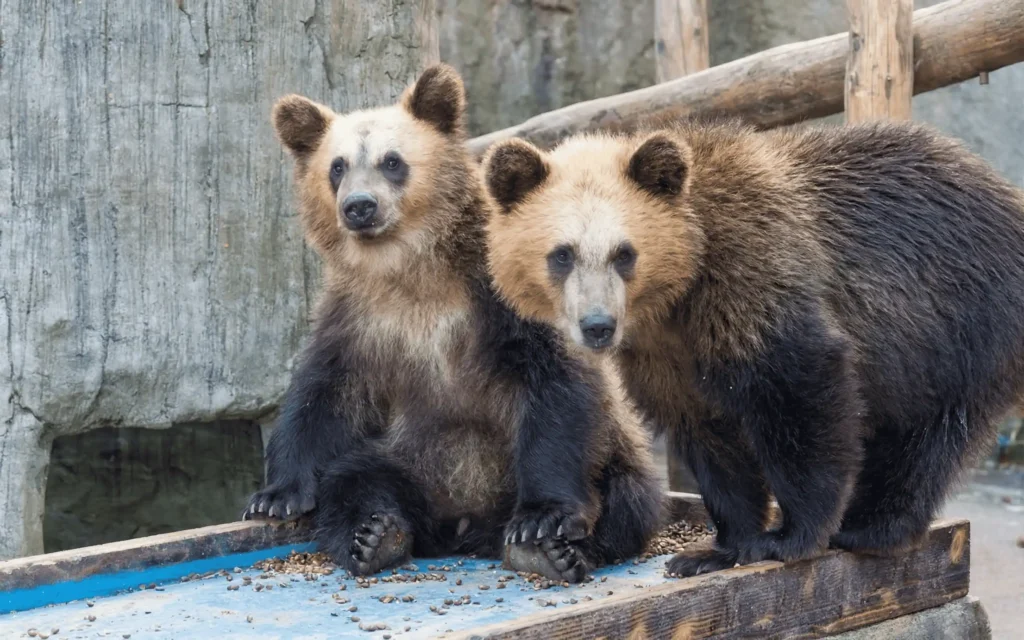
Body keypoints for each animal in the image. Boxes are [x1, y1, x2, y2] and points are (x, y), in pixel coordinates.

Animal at [242, 64, 662, 582]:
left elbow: (556, 387)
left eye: (392, 161)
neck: (411, 268)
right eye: (336, 166)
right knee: (353, 482)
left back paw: (550, 550)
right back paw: (375, 536)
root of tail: (463, 527)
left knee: (629, 502)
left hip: (613, 453)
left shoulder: (502, 298)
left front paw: (542, 520)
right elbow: (322, 394)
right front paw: (274, 497)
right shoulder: (360, 316)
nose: (359, 206)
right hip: (407, 458)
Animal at [481, 118, 1024, 577]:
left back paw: (872, 525)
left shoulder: (756, 280)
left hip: (957, 323)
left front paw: (788, 536)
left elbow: (801, 396)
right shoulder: (667, 358)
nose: (597, 326)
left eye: (624, 253)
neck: (681, 292)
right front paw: (717, 548)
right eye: (562, 254)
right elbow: (711, 440)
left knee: (927, 435)